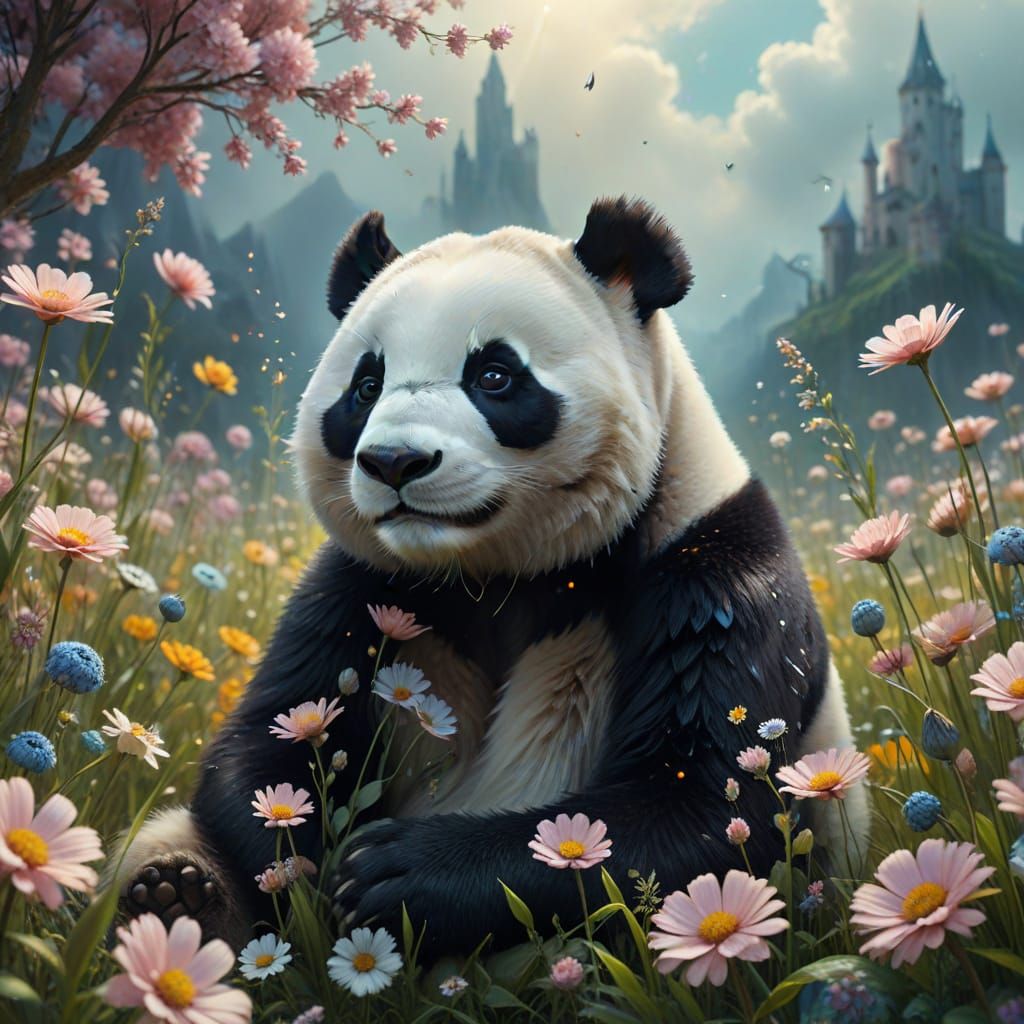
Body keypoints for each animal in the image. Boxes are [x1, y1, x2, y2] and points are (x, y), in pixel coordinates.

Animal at [116, 197, 868, 954]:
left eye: (495, 376)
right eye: (366, 385)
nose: (394, 461)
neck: (492, 569)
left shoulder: (708, 571)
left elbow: (702, 807)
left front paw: (393, 875)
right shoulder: (361, 586)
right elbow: (271, 739)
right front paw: (307, 869)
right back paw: (178, 893)